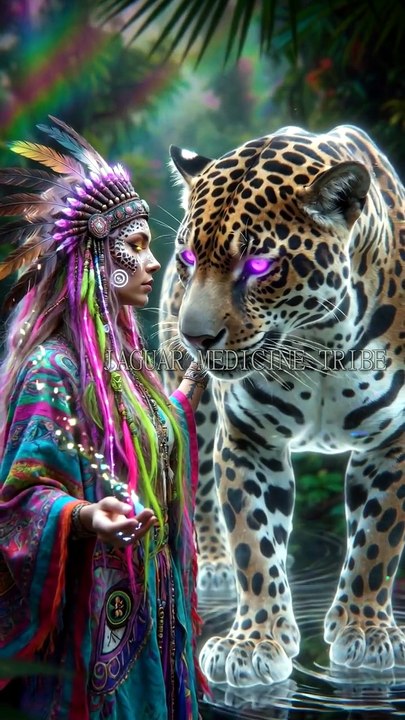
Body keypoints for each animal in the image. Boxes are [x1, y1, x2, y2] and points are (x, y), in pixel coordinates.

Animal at [158, 124, 405, 687]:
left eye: (258, 265)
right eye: (188, 259)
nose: (194, 337)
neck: (319, 344)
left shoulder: (393, 443)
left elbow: (377, 541)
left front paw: (365, 631)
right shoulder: (249, 439)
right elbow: (253, 541)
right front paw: (254, 642)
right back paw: (213, 566)